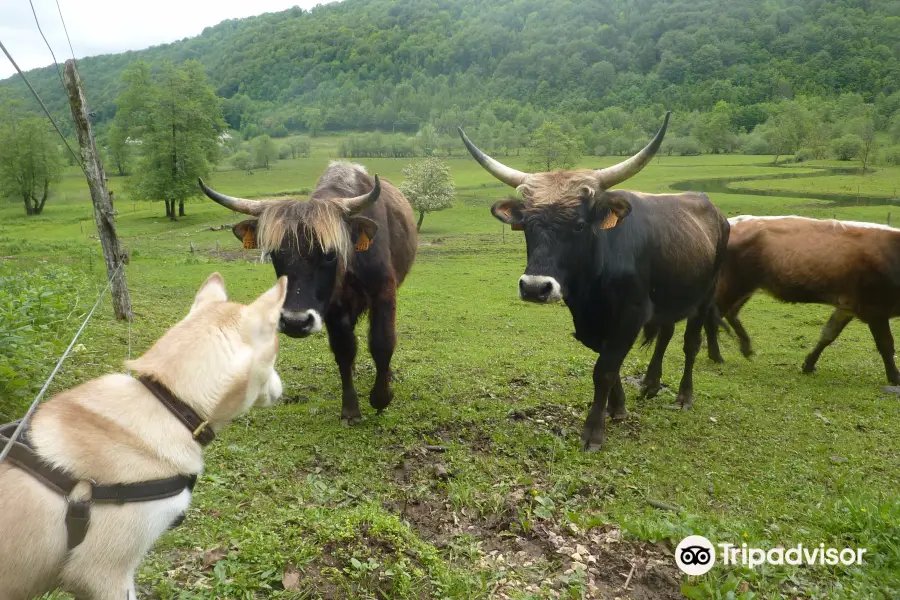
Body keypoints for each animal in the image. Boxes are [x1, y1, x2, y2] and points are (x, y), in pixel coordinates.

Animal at [199, 159, 416, 422]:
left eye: (330, 253)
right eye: (275, 253)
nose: (295, 322)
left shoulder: (383, 292)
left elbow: (383, 342)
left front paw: (381, 397)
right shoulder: (333, 307)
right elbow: (344, 350)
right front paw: (350, 409)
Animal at [460, 112, 728, 450]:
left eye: (577, 225)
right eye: (527, 226)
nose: (535, 287)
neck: (593, 287)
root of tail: (715, 210)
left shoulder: (632, 313)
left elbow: (605, 369)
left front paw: (593, 431)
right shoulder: (590, 321)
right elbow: (607, 362)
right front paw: (617, 407)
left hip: (705, 295)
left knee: (691, 344)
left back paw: (683, 397)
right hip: (668, 297)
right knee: (665, 334)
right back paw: (651, 384)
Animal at [708, 217, 900, 384]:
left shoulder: (847, 305)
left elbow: (828, 334)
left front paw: (808, 364)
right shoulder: (876, 308)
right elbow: (886, 345)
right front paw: (895, 377)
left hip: (746, 286)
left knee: (729, 313)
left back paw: (744, 347)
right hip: (733, 284)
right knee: (713, 316)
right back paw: (716, 356)